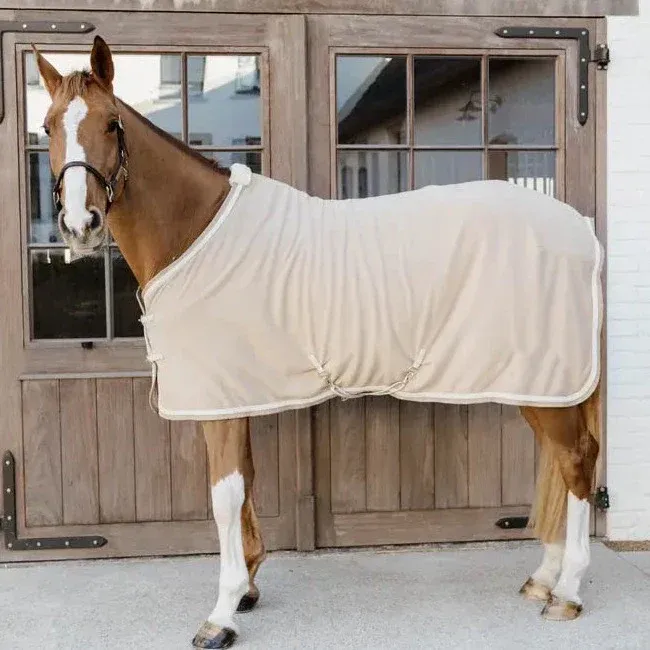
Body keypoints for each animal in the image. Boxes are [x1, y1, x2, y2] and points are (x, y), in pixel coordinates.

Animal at [33, 36, 602, 648]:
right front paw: (248, 588)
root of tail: (580, 228)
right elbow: (245, 484)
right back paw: (543, 578)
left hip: (547, 378)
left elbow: (224, 495)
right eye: (47, 126)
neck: (197, 231)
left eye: (112, 123)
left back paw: (568, 592)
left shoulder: (218, 401)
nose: (80, 224)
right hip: (538, 382)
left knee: (575, 459)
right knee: (557, 461)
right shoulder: (236, 395)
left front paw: (221, 613)